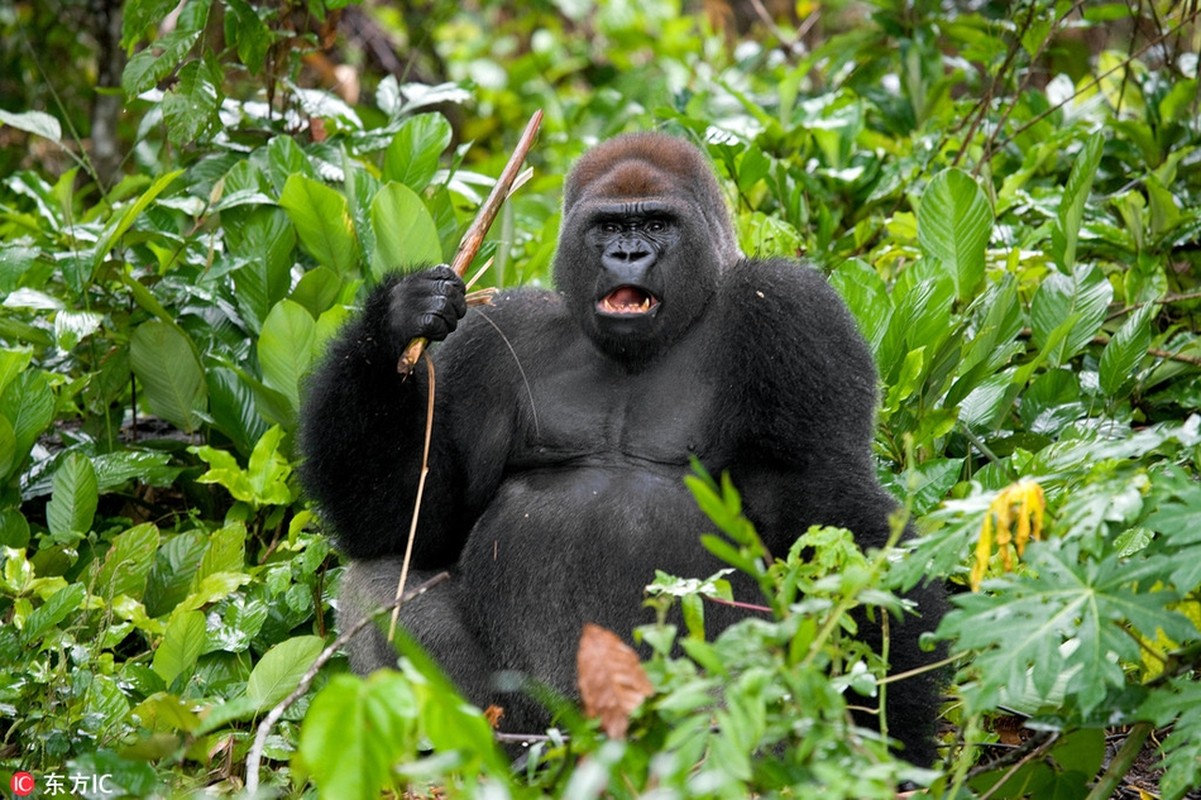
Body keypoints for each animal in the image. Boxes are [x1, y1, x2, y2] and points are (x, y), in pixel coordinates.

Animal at [300, 129, 946, 759]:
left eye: (657, 224)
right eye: (609, 227)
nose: (628, 256)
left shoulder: (793, 310)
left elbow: (835, 513)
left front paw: (897, 745)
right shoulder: (495, 333)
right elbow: (413, 522)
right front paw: (396, 322)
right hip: (528, 723)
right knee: (377, 585)